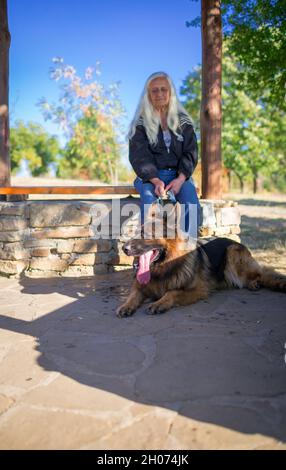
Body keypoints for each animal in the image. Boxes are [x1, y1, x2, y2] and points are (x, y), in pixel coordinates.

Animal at [116, 200, 286, 318]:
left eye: (147, 235)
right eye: (135, 232)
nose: (124, 248)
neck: (163, 270)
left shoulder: (198, 290)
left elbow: (172, 292)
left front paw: (159, 303)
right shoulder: (140, 287)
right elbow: (133, 295)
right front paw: (126, 306)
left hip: (232, 254)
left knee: (261, 274)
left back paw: (255, 282)